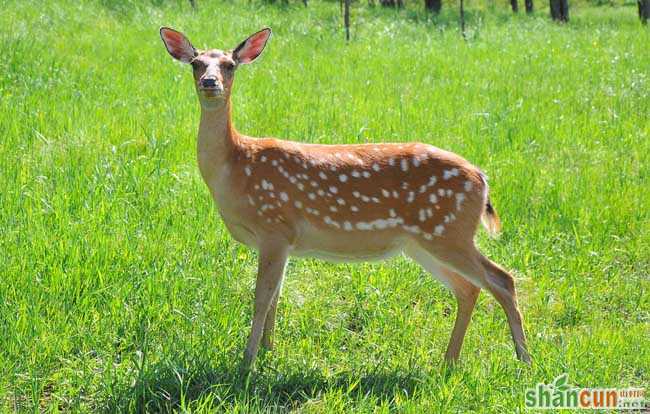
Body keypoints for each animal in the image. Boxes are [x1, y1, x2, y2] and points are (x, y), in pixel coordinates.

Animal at [159, 25, 528, 370]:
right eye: (195, 63)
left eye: (230, 65)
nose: (210, 82)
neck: (234, 166)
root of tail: (481, 177)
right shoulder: (284, 241)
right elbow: (276, 297)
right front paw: (268, 351)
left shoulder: (274, 227)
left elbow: (261, 298)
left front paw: (247, 362)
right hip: (423, 242)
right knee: (468, 288)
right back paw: (449, 361)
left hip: (449, 231)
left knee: (502, 279)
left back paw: (524, 359)